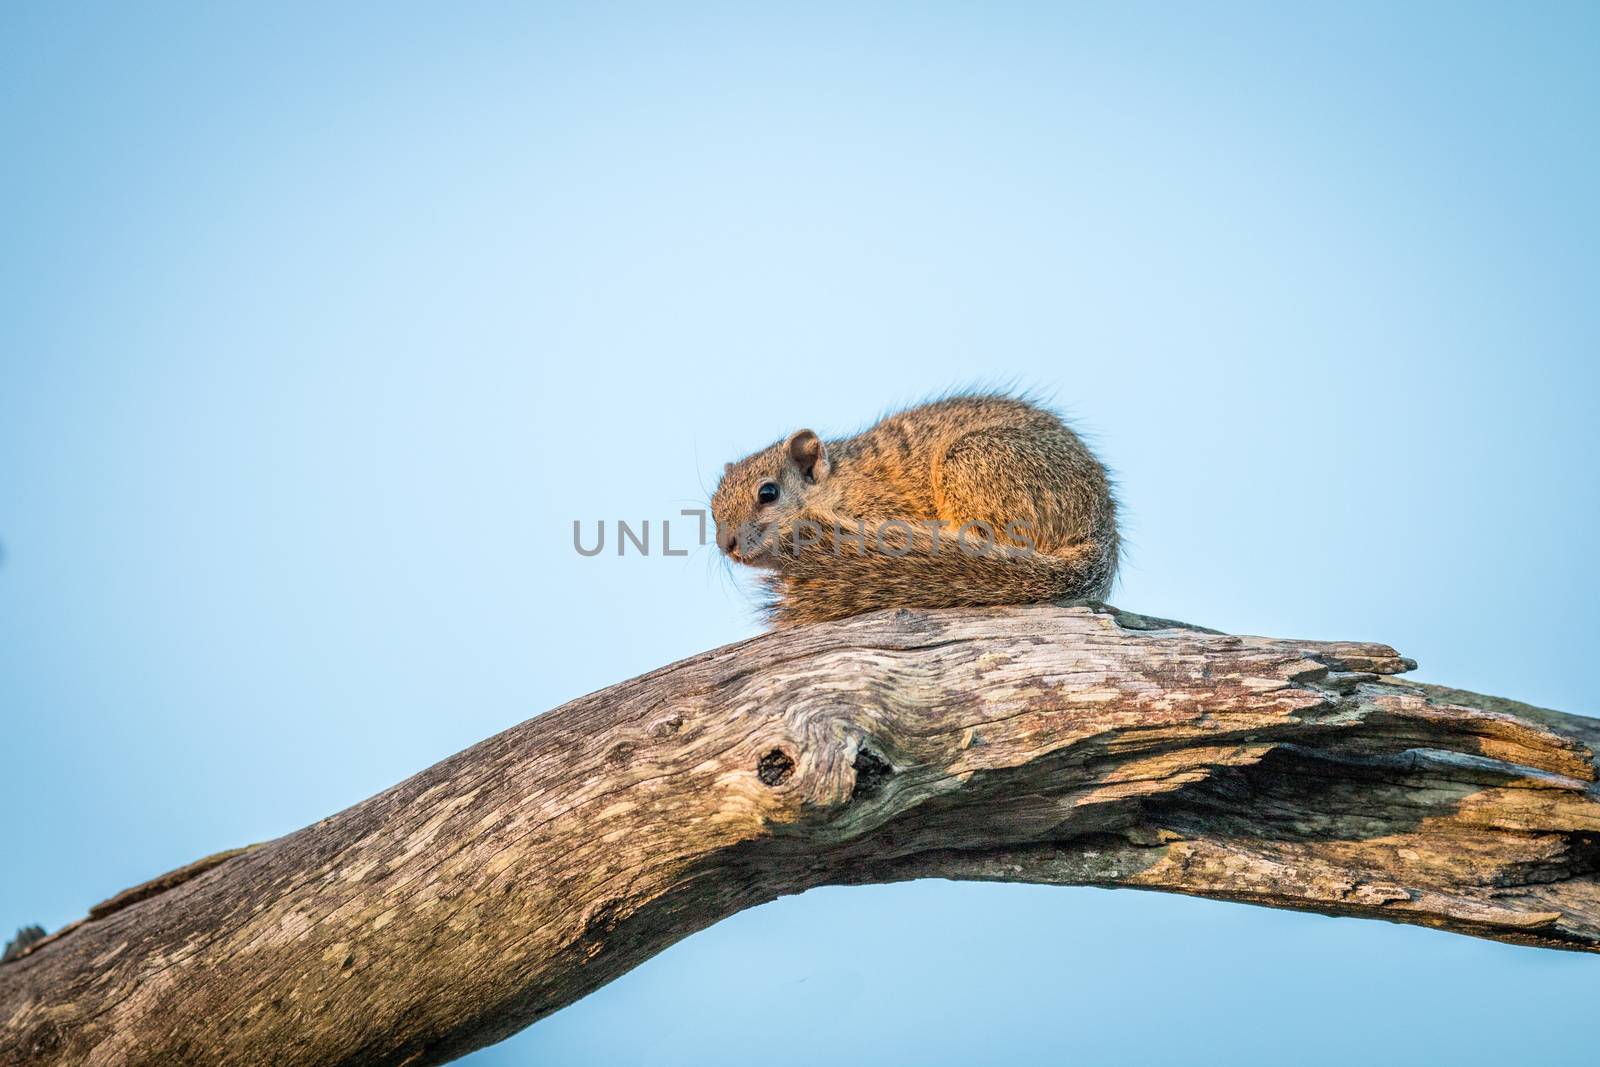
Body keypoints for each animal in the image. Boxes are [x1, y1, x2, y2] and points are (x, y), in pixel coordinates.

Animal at [707, 391, 1120, 627]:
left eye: (768, 493)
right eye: (712, 509)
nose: (727, 544)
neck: (838, 485)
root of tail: (1100, 528)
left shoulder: (881, 508)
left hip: (972, 463)